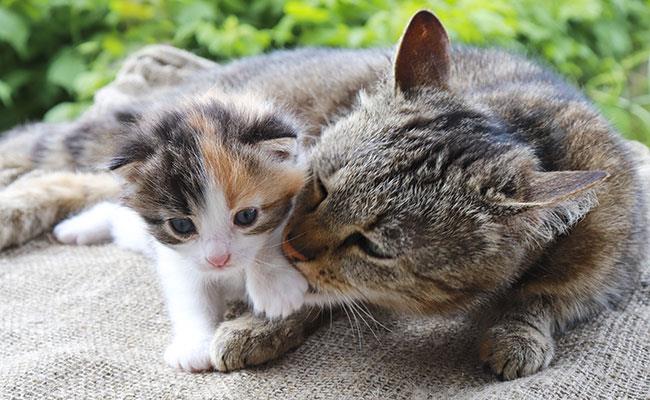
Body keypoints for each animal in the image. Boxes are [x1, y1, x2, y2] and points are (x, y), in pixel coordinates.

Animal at [278, 8, 644, 378]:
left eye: (373, 248)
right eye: (321, 187)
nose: (289, 247)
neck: (532, 130)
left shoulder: (606, 268)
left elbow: (545, 296)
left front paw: (519, 332)